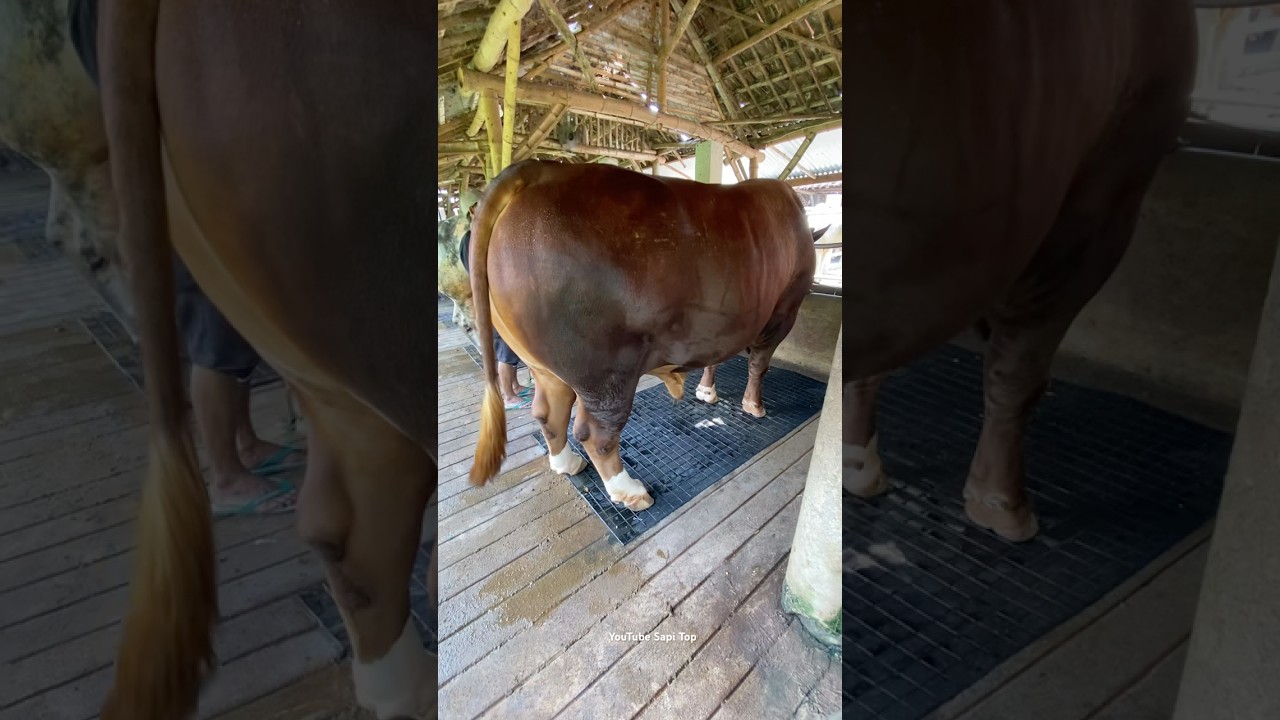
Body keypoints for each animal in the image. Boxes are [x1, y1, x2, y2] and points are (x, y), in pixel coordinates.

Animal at [465, 160, 817, 512]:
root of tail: (540, 168)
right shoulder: (784, 310)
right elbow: (759, 364)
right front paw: (754, 406)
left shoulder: (725, 326)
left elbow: (717, 357)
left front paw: (707, 391)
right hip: (606, 370)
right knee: (595, 431)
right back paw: (630, 491)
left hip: (545, 366)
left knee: (548, 414)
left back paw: (568, 464)